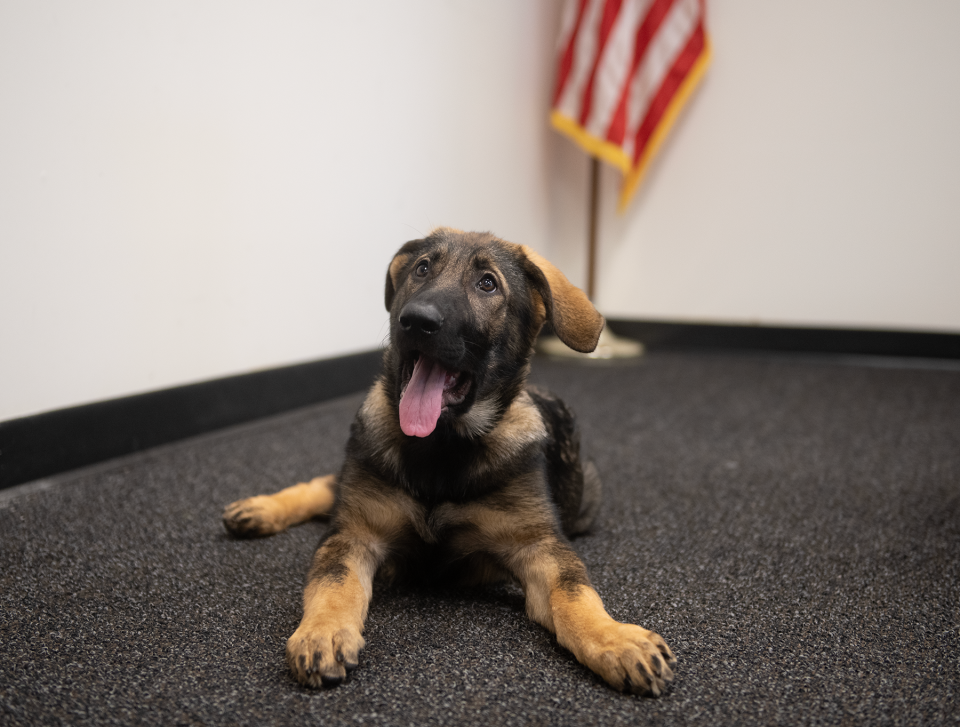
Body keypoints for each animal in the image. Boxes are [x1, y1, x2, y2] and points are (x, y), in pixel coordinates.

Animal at [224, 230, 676, 696]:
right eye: (422, 268)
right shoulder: (354, 533)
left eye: (488, 284)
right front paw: (323, 632)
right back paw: (259, 508)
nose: (416, 321)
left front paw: (614, 639)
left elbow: (574, 593)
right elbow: (334, 583)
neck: (440, 447)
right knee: (326, 484)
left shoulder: (539, 547)